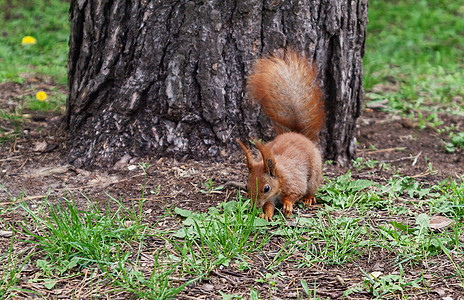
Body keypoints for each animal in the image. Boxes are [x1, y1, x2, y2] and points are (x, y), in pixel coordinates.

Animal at [237, 49, 324, 220]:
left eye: (266, 188)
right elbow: (269, 205)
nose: (254, 207)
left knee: (311, 187)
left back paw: (309, 198)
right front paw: (266, 214)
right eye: (246, 186)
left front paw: (288, 205)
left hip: (315, 173)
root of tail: (297, 134)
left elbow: (294, 193)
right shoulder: (271, 199)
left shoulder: (294, 182)